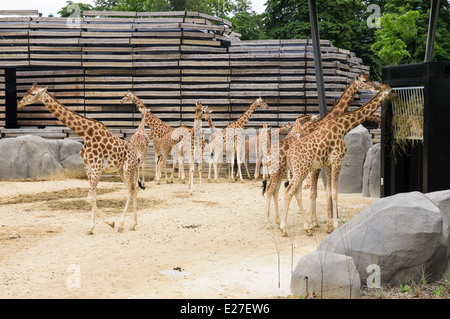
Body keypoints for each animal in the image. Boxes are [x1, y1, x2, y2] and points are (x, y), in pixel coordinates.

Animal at [18, 85, 142, 235]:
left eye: (33, 94)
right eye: (26, 91)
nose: (19, 104)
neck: (85, 134)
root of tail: (135, 155)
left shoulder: (97, 167)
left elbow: (89, 197)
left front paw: (111, 223)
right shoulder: (89, 167)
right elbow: (93, 197)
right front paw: (91, 228)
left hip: (128, 167)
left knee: (131, 190)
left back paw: (122, 224)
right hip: (120, 170)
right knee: (133, 189)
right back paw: (133, 224)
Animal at [262, 72, 378, 228]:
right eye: (365, 81)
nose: (376, 88)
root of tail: (268, 152)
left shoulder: (320, 165)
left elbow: (318, 191)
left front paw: (316, 221)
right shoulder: (317, 166)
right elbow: (314, 192)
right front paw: (315, 222)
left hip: (280, 171)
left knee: (275, 190)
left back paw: (277, 221)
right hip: (280, 170)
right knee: (271, 190)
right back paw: (269, 222)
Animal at [284, 82, 396, 238]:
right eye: (366, 82)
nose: (396, 96)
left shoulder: (325, 164)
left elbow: (325, 192)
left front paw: (323, 224)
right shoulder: (330, 162)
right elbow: (324, 192)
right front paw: (326, 224)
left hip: (299, 169)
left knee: (293, 190)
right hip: (300, 168)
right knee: (287, 189)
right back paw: (286, 227)